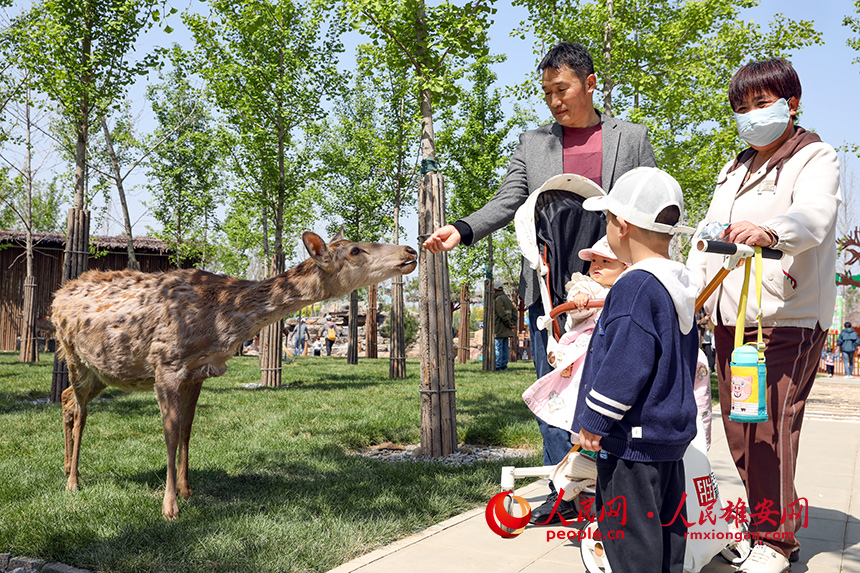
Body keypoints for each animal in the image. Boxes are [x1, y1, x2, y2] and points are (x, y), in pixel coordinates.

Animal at [52, 229, 418, 520]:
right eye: (355, 249)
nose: (411, 251)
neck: (220, 324)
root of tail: (57, 296)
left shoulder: (197, 372)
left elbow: (187, 431)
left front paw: (187, 491)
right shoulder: (166, 364)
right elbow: (170, 433)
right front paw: (169, 508)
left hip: (104, 371)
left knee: (67, 399)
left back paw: (67, 468)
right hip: (74, 355)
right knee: (79, 410)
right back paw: (72, 481)